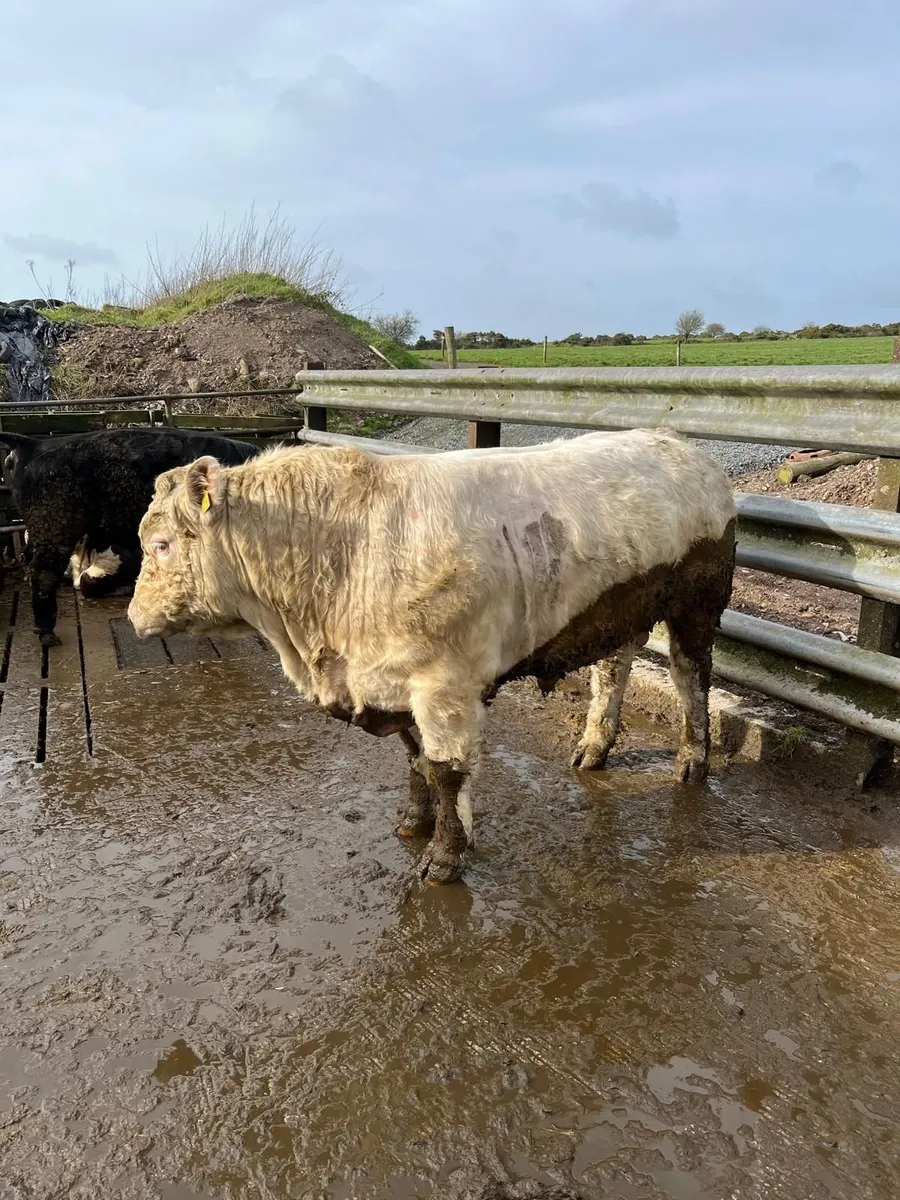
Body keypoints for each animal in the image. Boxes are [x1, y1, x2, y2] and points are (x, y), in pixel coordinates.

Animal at [127, 429, 737, 885]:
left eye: (161, 545)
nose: (133, 617)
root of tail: (682, 444)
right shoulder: (390, 684)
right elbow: (414, 761)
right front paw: (411, 822)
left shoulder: (445, 686)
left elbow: (446, 771)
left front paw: (443, 858)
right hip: (624, 607)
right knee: (613, 668)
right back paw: (593, 748)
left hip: (697, 601)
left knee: (691, 675)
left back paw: (693, 761)